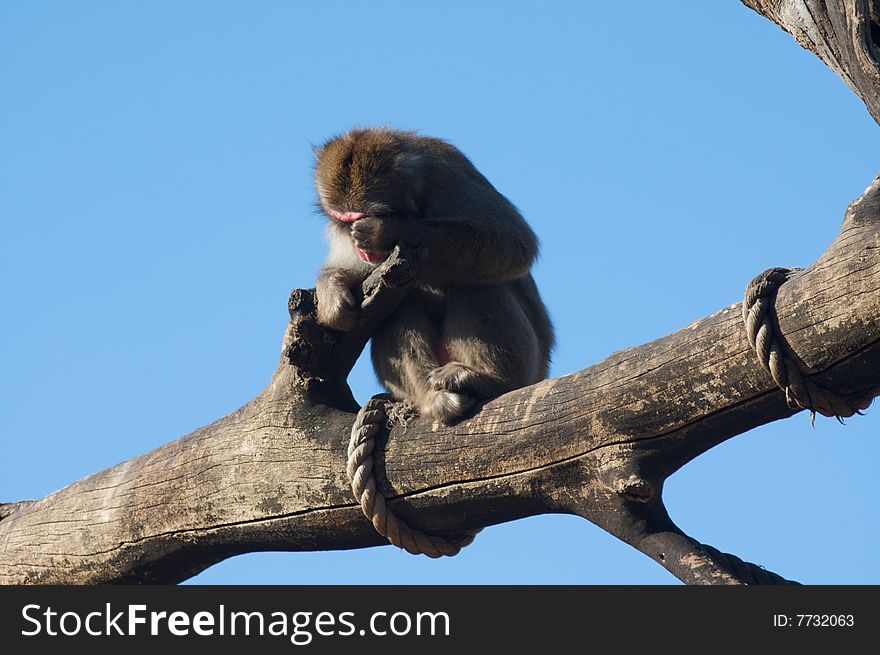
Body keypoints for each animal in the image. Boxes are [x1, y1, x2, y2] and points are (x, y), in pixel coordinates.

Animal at [312, 128, 552, 426]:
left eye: (369, 215)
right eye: (344, 221)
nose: (360, 246)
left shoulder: (448, 173)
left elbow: (513, 242)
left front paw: (386, 231)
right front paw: (331, 291)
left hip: (528, 369)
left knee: (474, 283)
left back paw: (489, 380)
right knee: (403, 303)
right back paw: (432, 399)